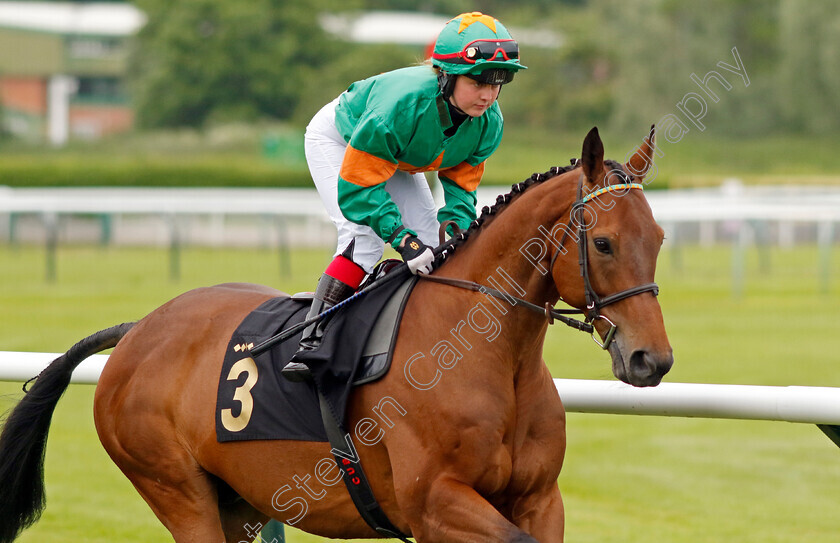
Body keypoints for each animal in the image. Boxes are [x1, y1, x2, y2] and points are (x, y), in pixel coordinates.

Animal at [0, 126, 668, 543]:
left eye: (659, 239)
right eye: (603, 243)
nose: (651, 359)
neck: (487, 354)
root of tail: (138, 330)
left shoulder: (538, 499)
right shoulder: (434, 503)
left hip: (240, 503)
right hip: (177, 491)